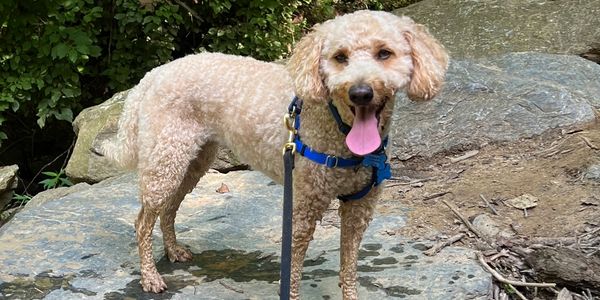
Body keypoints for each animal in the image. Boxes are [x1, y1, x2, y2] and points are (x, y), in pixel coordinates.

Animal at [99, 9, 446, 300]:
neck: (338, 125)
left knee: (169, 209)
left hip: (192, 162)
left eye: (384, 53)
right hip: (166, 161)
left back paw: (173, 251)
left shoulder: (359, 208)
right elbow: (292, 272)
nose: (360, 92)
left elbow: (349, 266)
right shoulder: (302, 209)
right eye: (340, 57)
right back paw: (150, 277)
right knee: (142, 221)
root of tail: (152, 75)